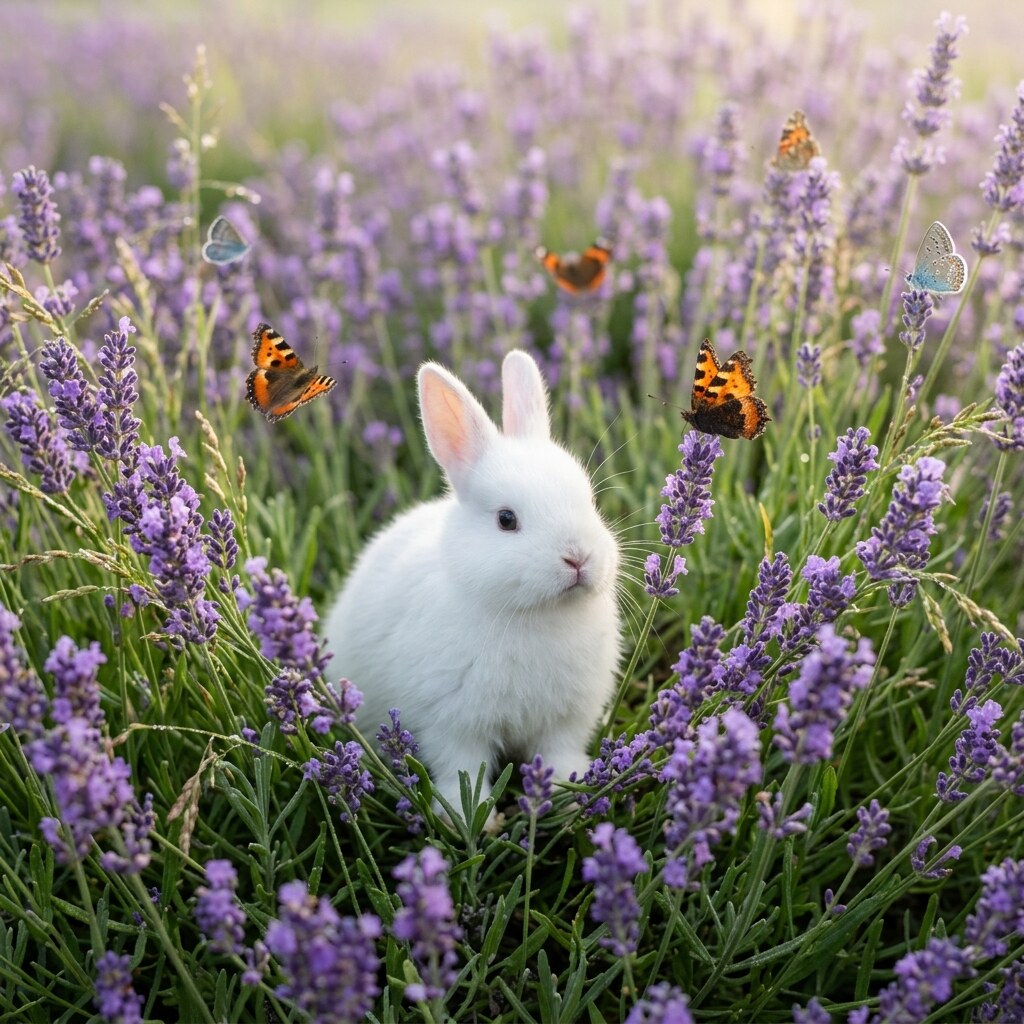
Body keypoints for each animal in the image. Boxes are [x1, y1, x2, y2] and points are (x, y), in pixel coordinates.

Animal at [322, 349, 621, 824]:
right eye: (506, 519)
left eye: (590, 500)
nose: (578, 558)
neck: (534, 614)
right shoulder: (454, 724)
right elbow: (463, 769)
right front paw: (469, 816)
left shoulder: (566, 720)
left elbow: (560, 755)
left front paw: (570, 793)